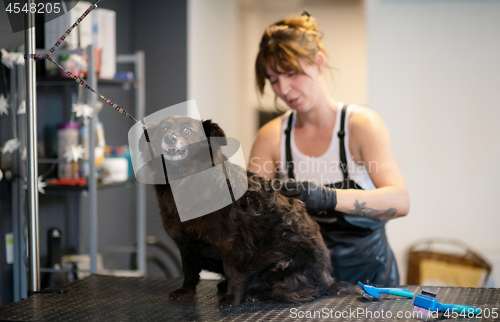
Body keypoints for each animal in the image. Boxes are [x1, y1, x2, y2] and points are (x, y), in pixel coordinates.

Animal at [139, 115, 338, 306]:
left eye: (188, 131)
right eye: (164, 129)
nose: (169, 138)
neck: (184, 180)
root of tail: (327, 278)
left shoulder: (233, 244)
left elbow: (234, 272)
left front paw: (233, 298)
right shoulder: (185, 245)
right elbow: (189, 271)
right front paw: (186, 291)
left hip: (281, 260)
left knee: (293, 290)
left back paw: (255, 293)